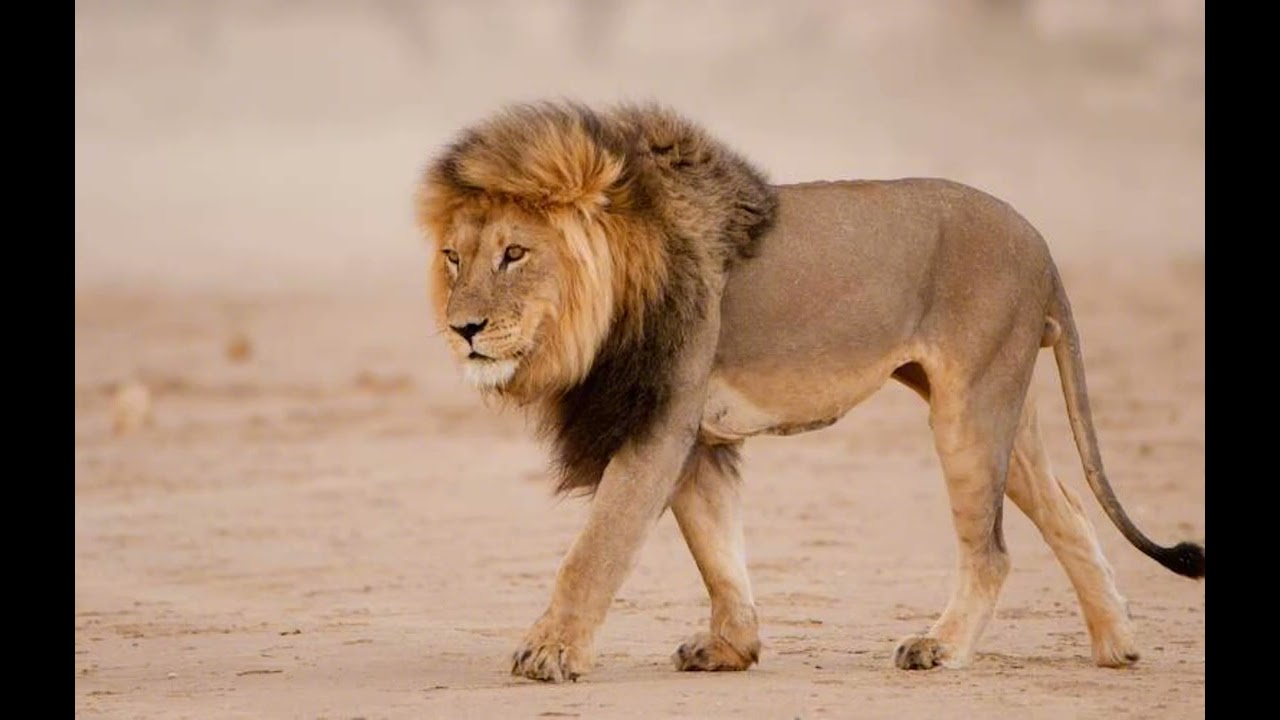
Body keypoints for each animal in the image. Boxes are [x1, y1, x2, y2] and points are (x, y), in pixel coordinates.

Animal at [416, 101, 1205, 683]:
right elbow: (717, 551)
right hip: (1006, 403)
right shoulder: (694, 435)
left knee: (992, 550)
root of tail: (1042, 243)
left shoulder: (660, 423)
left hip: (970, 408)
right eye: (454, 257)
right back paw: (1118, 645)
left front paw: (550, 652)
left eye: (515, 254)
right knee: (1068, 510)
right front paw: (731, 649)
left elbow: (596, 547)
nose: (463, 329)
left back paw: (942, 647)